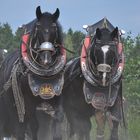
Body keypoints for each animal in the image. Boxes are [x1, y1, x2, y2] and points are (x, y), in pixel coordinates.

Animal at [0, 5, 65, 140]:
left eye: (54, 28)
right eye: (38, 27)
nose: (46, 60)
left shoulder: (57, 96)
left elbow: (58, 118)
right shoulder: (27, 103)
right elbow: (28, 124)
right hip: (12, 105)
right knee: (21, 126)